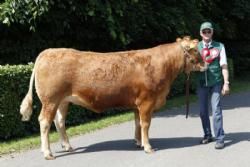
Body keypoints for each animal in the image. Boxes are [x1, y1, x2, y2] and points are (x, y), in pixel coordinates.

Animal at [20, 36, 205, 159]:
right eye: (195, 50)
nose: (205, 64)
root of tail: (48, 51)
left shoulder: (137, 103)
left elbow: (138, 123)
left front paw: (138, 142)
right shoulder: (146, 101)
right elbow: (145, 124)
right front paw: (148, 147)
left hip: (63, 101)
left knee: (59, 122)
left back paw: (67, 146)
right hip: (50, 100)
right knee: (45, 121)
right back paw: (48, 152)